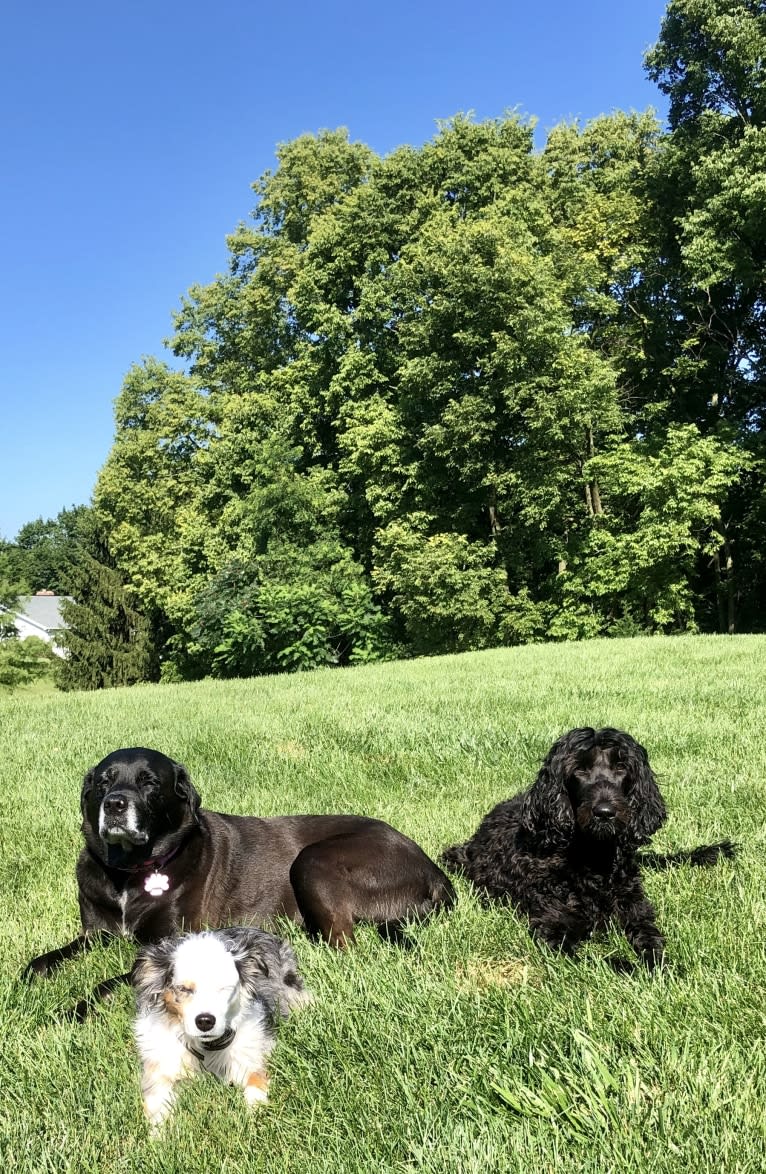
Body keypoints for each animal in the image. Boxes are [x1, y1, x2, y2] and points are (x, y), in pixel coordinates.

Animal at [441, 723, 737, 972]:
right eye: (580, 770)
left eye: (621, 767)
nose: (604, 812)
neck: (595, 859)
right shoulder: (554, 931)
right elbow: (603, 960)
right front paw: (634, 969)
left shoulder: (636, 910)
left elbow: (651, 941)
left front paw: (663, 967)